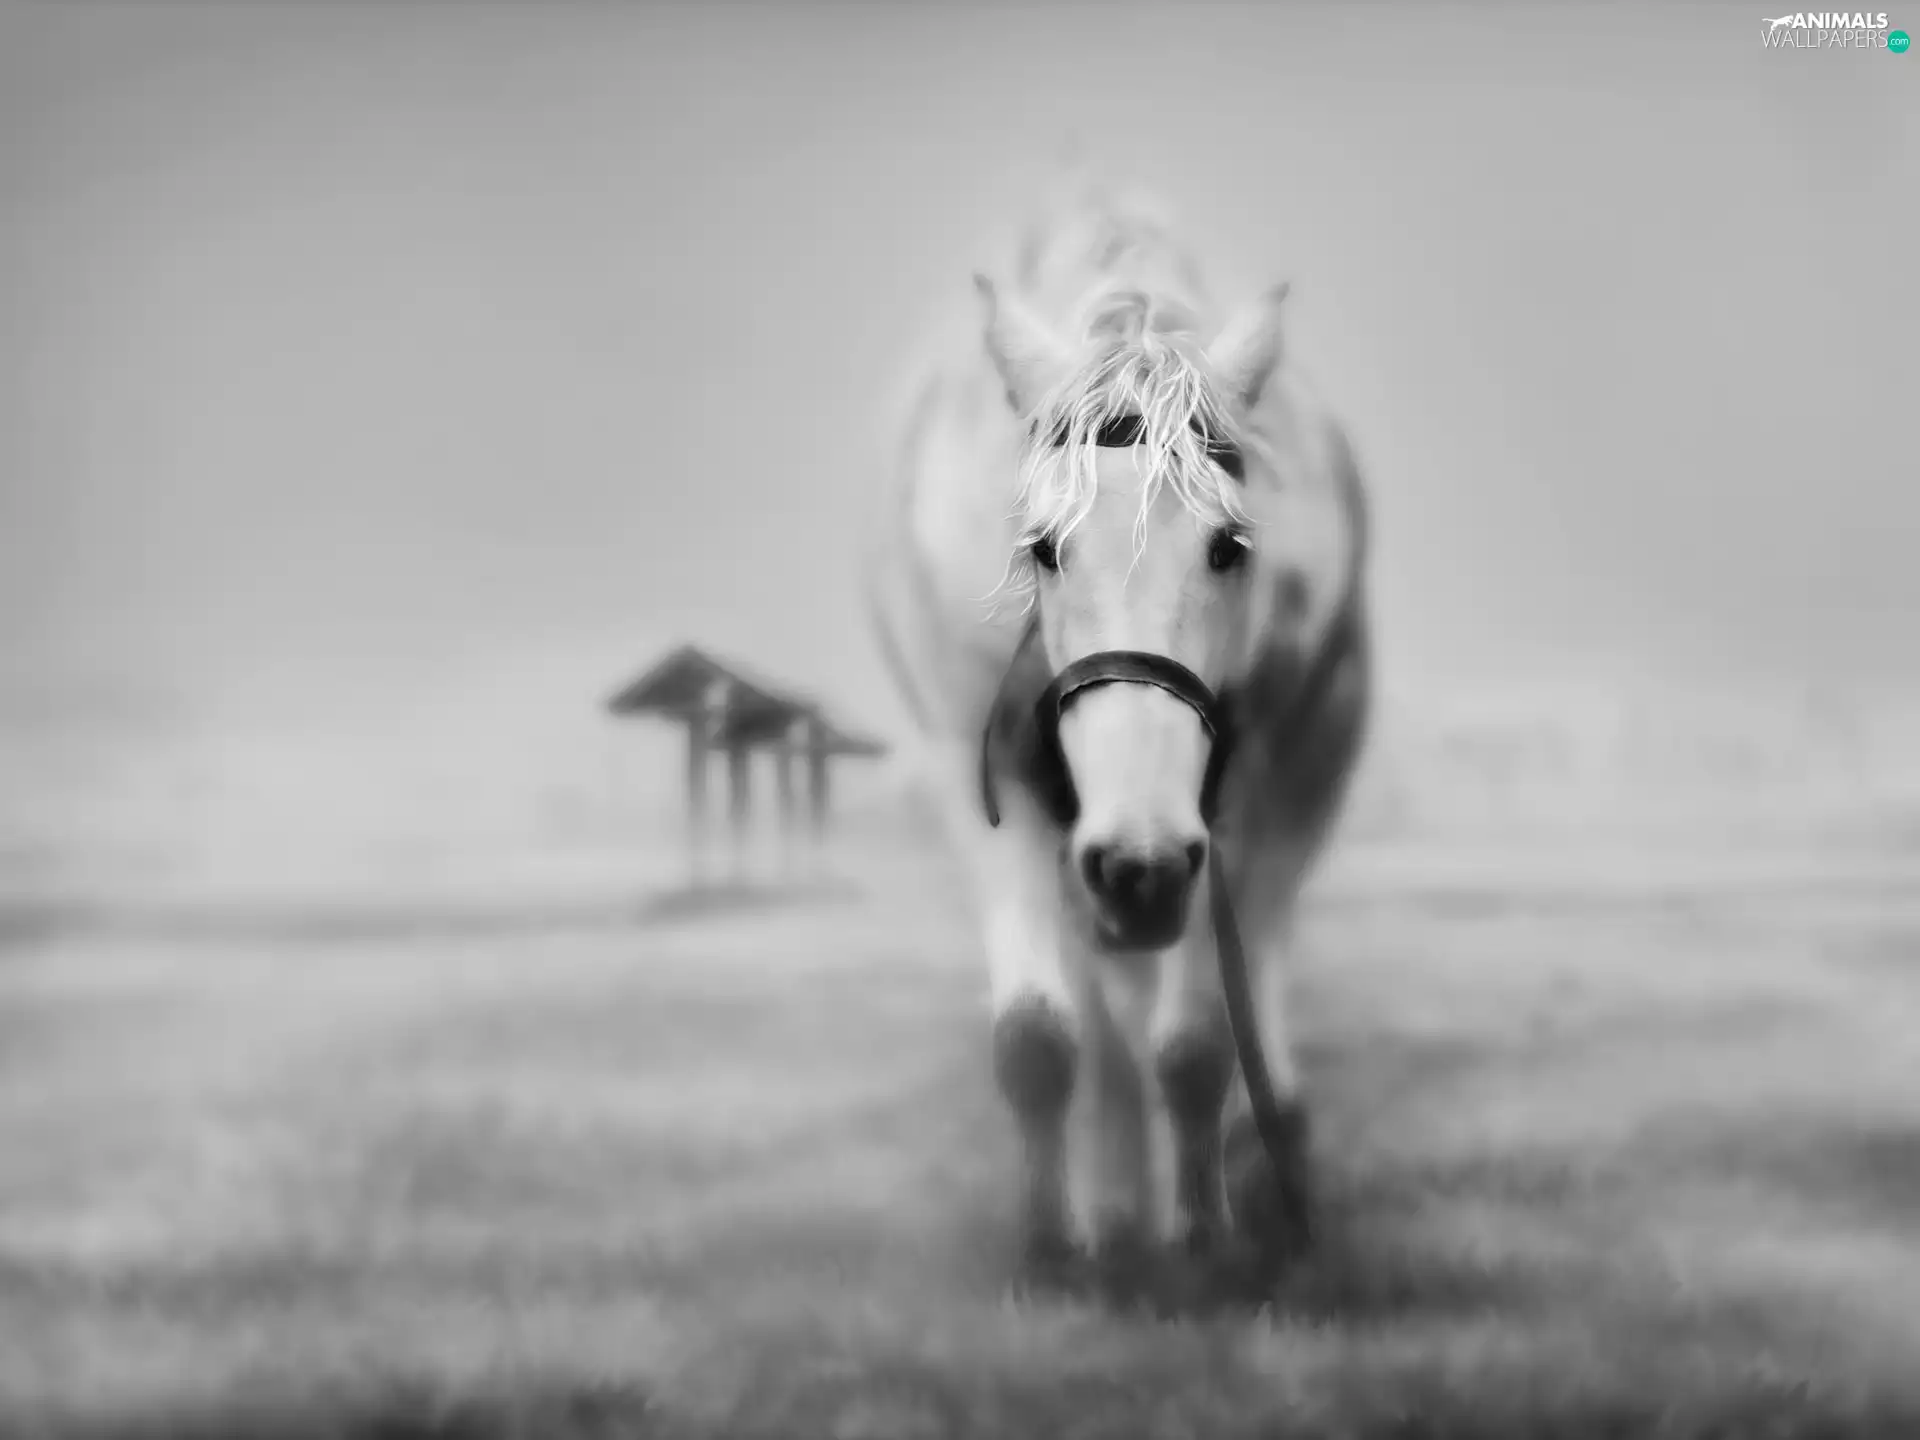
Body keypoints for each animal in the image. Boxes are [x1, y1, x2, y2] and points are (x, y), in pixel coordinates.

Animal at [864, 182, 1372, 1292]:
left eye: (1230, 546)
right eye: (1042, 548)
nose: (1140, 868)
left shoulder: (1244, 798)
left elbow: (1196, 1042)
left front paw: (1203, 1237)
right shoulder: (985, 780)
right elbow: (1041, 1036)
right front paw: (1056, 1244)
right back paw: (1112, 1194)